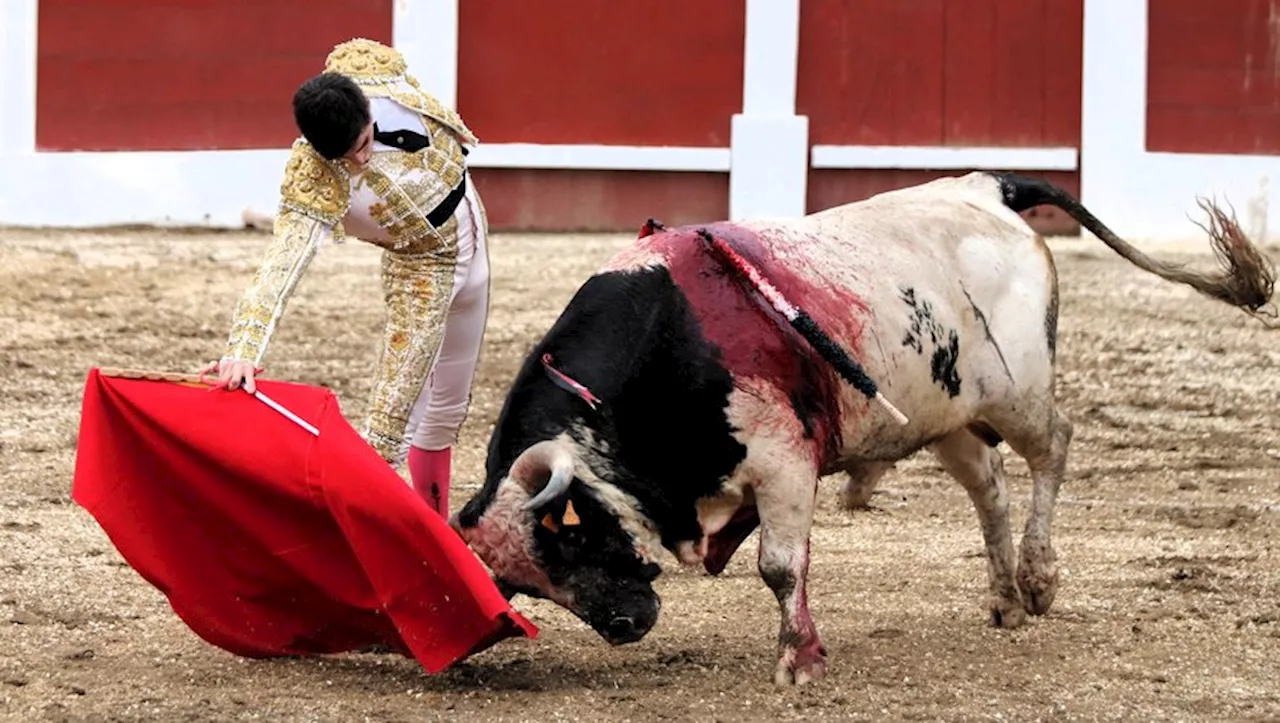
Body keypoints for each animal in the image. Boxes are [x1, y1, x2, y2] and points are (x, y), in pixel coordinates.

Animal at [448, 171, 1269, 685]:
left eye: (570, 536)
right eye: (522, 583)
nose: (625, 624)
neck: (673, 337)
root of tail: (989, 187)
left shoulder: (783, 462)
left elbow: (780, 567)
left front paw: (800, 661)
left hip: (1020, 391)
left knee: (1054, 448)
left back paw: (1038, 579)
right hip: (949, 416)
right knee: (991, 486)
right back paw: (1004, 595)